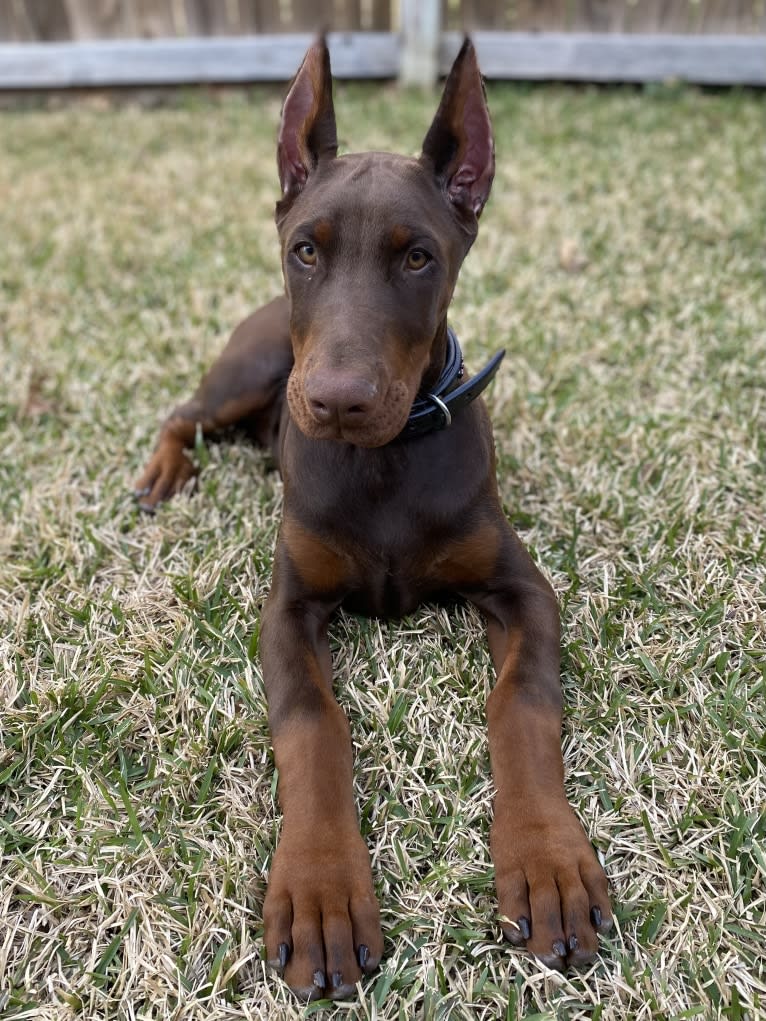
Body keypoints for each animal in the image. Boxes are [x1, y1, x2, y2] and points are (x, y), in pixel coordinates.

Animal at [134, 37, 616, 996]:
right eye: (305, 249)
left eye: (418, 257)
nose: (335, 401)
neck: (385, 457)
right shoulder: (288, 607)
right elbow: (313, 724)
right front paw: (322, 892)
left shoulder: (521, 587)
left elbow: (522, 701)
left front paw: (548, 864)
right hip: (250, 368)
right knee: (183, 413)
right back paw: (163, 473)